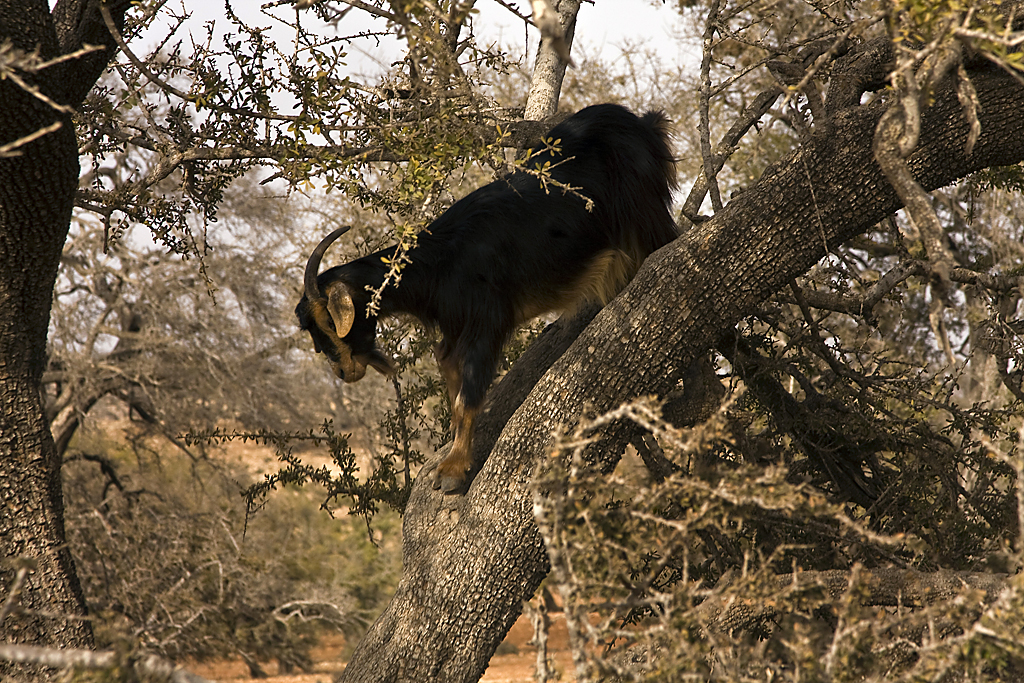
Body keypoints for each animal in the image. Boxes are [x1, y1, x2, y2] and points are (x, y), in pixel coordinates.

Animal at [296, 103, 678, 493]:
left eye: (328, 322)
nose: (342, 372)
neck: (439, 261)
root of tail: (642, 122)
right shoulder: (453, 329)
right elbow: (451, 383)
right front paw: (454, 450)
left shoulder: (487, 321)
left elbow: (468, 396)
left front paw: (453, 471)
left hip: (647, 214)